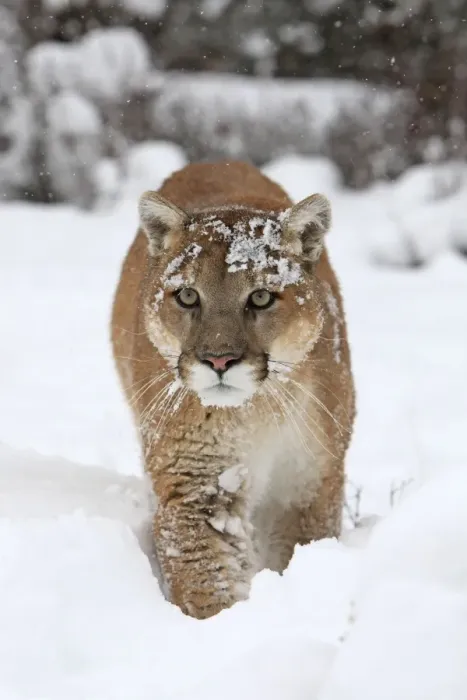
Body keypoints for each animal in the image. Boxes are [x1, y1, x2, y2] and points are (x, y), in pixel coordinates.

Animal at [111, 161, 355, 619]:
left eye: (260, 297)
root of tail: (211, 161)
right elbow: (206, 579)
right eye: (188, 295)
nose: (219, 360)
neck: (255, 413)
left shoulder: (308, 483)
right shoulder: (195, 486)